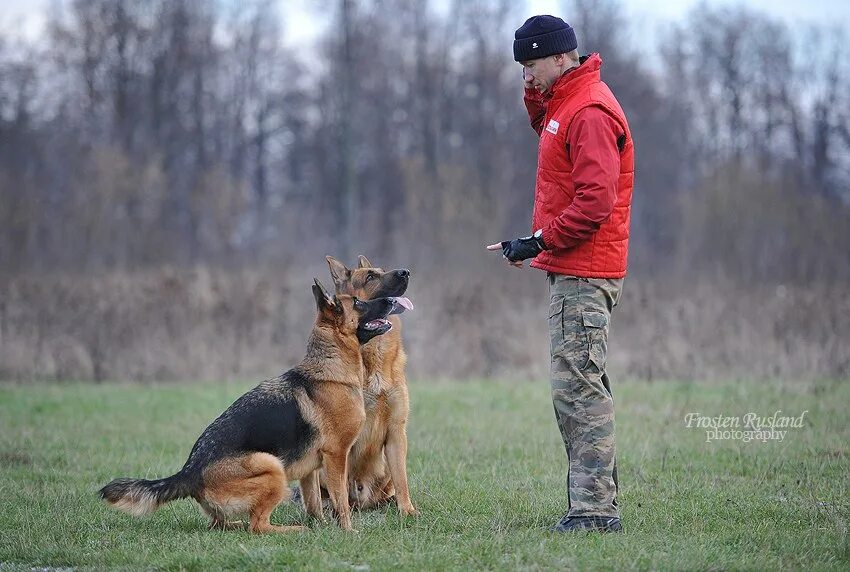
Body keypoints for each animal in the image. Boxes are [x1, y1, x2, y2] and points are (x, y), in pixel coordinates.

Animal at [97, 280, 404, 536]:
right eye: (358, 302)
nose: (392, 300)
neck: (331, 368)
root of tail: (189, 472)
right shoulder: (337, 456)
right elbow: (341, 501)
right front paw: (347, 531)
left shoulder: (312, 469)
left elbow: (315, 503)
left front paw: (322, 526)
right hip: (272, 467)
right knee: (258, 526)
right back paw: (292, 530)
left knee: (219, 523)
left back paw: (239, 525)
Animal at [322, 255, 416, 512]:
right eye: (370, 277)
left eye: (383, 270)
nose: (406, 272)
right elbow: (341, 485)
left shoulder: (396, 432)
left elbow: (402, 480)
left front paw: (407, 511)